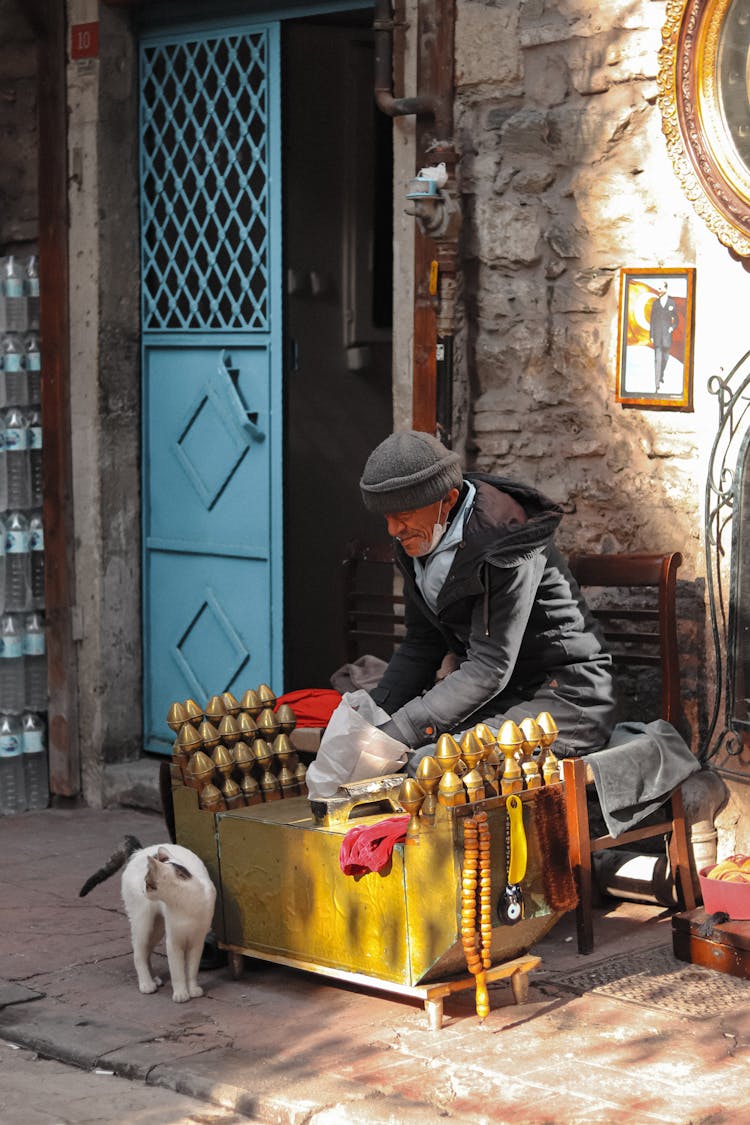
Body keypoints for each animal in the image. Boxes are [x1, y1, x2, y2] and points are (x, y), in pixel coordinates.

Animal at [80, 837, 218, 1003]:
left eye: (149, 884)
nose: (142, 890)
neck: (185, 904)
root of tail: (139, 851)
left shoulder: (197, 942)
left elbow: (191, 969)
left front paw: (193, 989)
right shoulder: (173, 942)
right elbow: (177, 972)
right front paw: (180, 993)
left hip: (157, 928)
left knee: (147, 952)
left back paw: (153, 979)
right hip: (143, 924)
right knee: (138, 953)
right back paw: (146, 984)